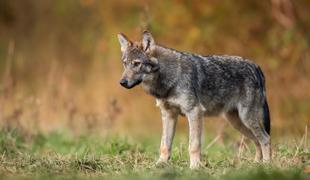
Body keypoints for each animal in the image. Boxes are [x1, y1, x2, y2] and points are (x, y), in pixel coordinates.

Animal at [117, 30, 272, 169]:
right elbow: (164, 145)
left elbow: (193, 145)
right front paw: (159, 165)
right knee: (257, 141)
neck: (169, 78)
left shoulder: (194, 112)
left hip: (246, 119)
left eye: (137, 63)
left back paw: (266, 165)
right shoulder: (168, 115)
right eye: (125, 63)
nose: (122, 82)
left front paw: (194, 167)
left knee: (265, 139)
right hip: (237, 122)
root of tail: (255, 66)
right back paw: (256, 165)